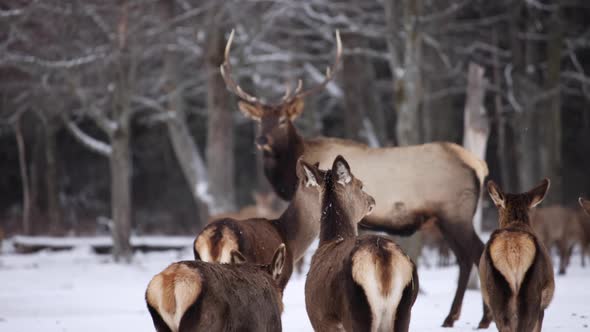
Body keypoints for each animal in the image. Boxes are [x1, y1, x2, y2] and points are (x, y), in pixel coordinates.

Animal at [306, 156, 420, 332]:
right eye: (360, 185)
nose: (372, 199)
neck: (330, 239)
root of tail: (383, 257)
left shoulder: (320, 321)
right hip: (404, 310)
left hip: (356, 312)